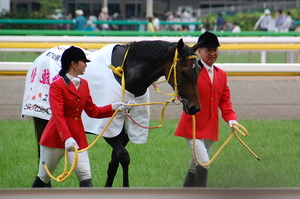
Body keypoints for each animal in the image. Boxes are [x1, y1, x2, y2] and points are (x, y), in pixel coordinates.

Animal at [28, 38, 202, 187]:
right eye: (184, 72)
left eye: (199, 70)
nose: (195, 108)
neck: (126, 75)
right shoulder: (107, 128)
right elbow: (124, 157)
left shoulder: (125, 129)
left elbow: (114, 162)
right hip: (42, 120)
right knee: (42, 156)